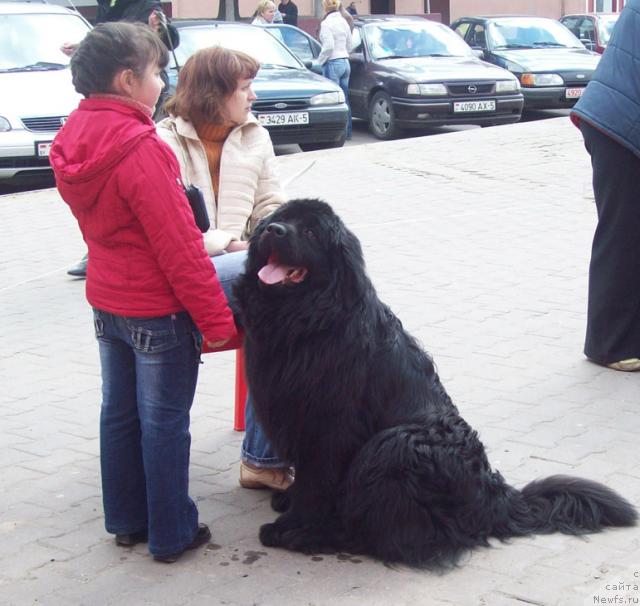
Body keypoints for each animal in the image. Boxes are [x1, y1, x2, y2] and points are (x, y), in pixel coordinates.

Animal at [232, 200, 636, 568]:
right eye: (280, 218)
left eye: (311, 232)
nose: (272, 231)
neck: (306, 319)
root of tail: (494, 496)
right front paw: (289, 501)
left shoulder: (328, 425)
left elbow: (317, 482)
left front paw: (296, 526)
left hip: (394, 446)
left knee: (401, 536)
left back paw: (327, 536)